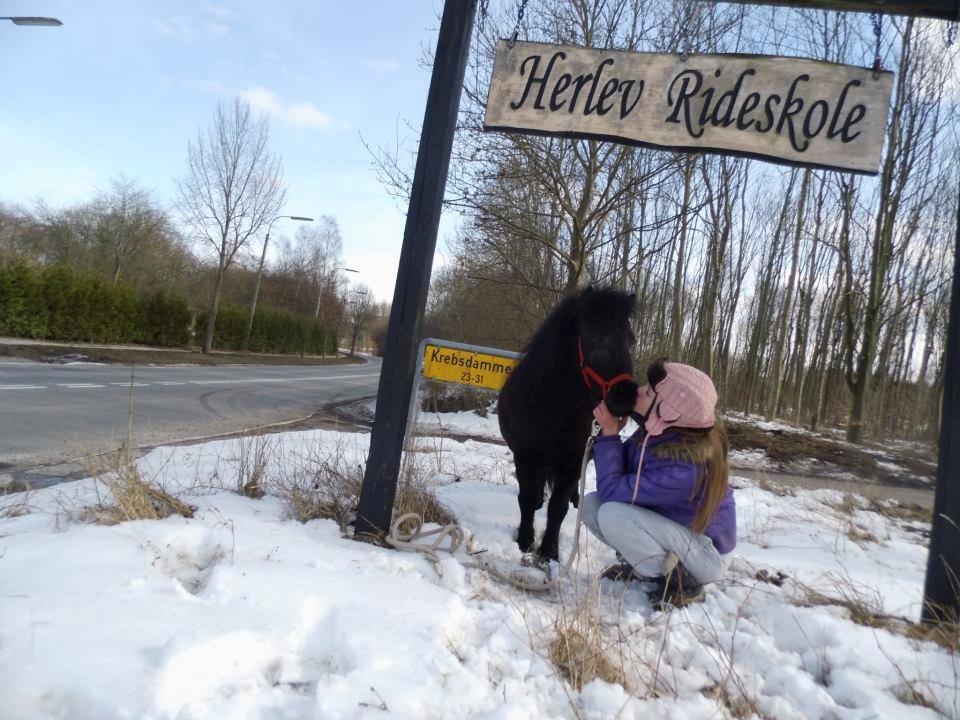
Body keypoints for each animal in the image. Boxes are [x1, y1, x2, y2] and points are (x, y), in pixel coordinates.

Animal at [496, 286, 636, 564]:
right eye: (592, 338)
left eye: (631, 340)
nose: (625, 397)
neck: (554, 409)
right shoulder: (525, 458)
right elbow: (525, 499)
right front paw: (525, 541)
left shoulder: (572, 464)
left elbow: (557, 508)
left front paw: (549, 551)